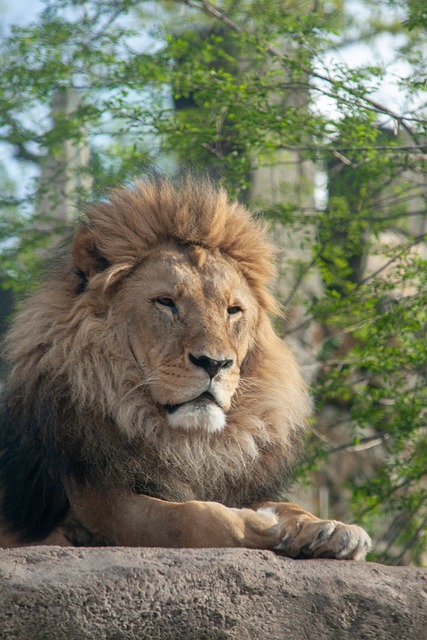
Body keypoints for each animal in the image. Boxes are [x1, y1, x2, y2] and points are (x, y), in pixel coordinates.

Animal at [0, 172, 372, 556]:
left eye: (233, 310)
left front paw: (329, 528)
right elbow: (190, 517)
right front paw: (263, 525)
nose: (215, 363)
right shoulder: (101, 503)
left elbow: (286, 505)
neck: (189, 444)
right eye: (165, 302)